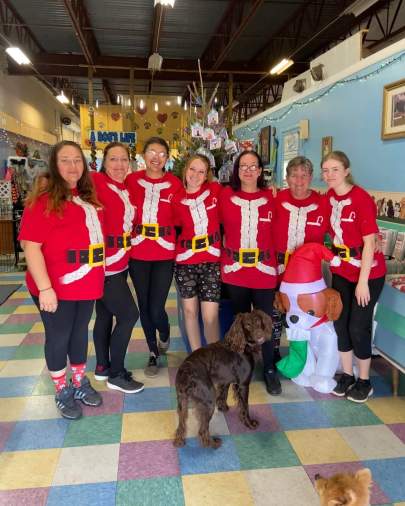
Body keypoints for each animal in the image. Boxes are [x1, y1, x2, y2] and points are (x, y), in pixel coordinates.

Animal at [171, 310, 272, 448]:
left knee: (181, 424)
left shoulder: (225, 380)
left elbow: (223, 395)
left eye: (258, 321)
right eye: (247, 325)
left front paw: (223, 408)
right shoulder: (243, 385)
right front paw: (249, 423)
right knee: (202, 430)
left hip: (183, 402)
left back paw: (180, 441)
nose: (259, 334)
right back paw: (213, 443)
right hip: (208, 399)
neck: (241, 344)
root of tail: (185, 372)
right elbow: (245, 406)